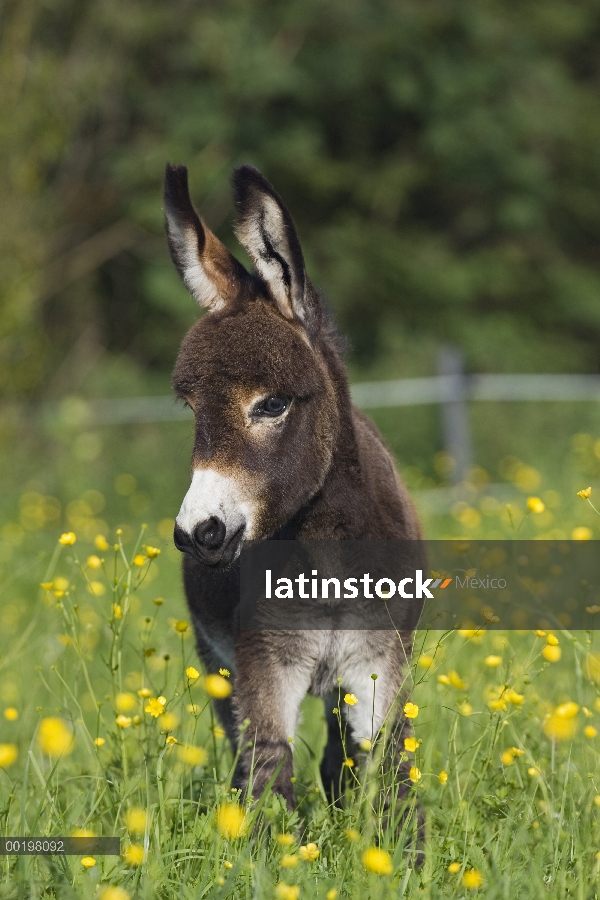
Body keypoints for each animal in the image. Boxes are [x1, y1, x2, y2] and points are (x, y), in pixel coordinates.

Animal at [164, 160, 424, 808]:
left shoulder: (379, 660)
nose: (199, 533)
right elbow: (266, 773)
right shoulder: (264, 664)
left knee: (340, 752)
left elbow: (394, 770)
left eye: (273, 404)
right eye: (191, 408)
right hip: (217, 663)